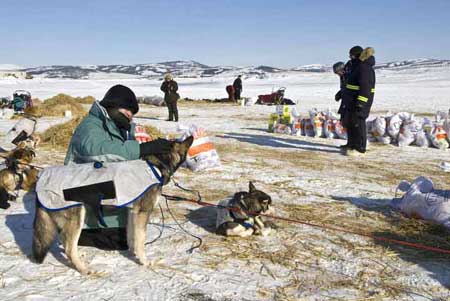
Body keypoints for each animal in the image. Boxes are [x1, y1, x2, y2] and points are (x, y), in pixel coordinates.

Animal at [31, 137, 193, 274]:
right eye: (181, 141)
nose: (191, 137)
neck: (155, 166)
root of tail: (40, 180)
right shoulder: (142, 213)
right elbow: (141, 241)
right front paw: (145, 262)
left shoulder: (132, 213)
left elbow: (132, 238)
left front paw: (133, 254)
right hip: (78, 219)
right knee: (69, 248)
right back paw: (84, 269)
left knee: (65, 243)